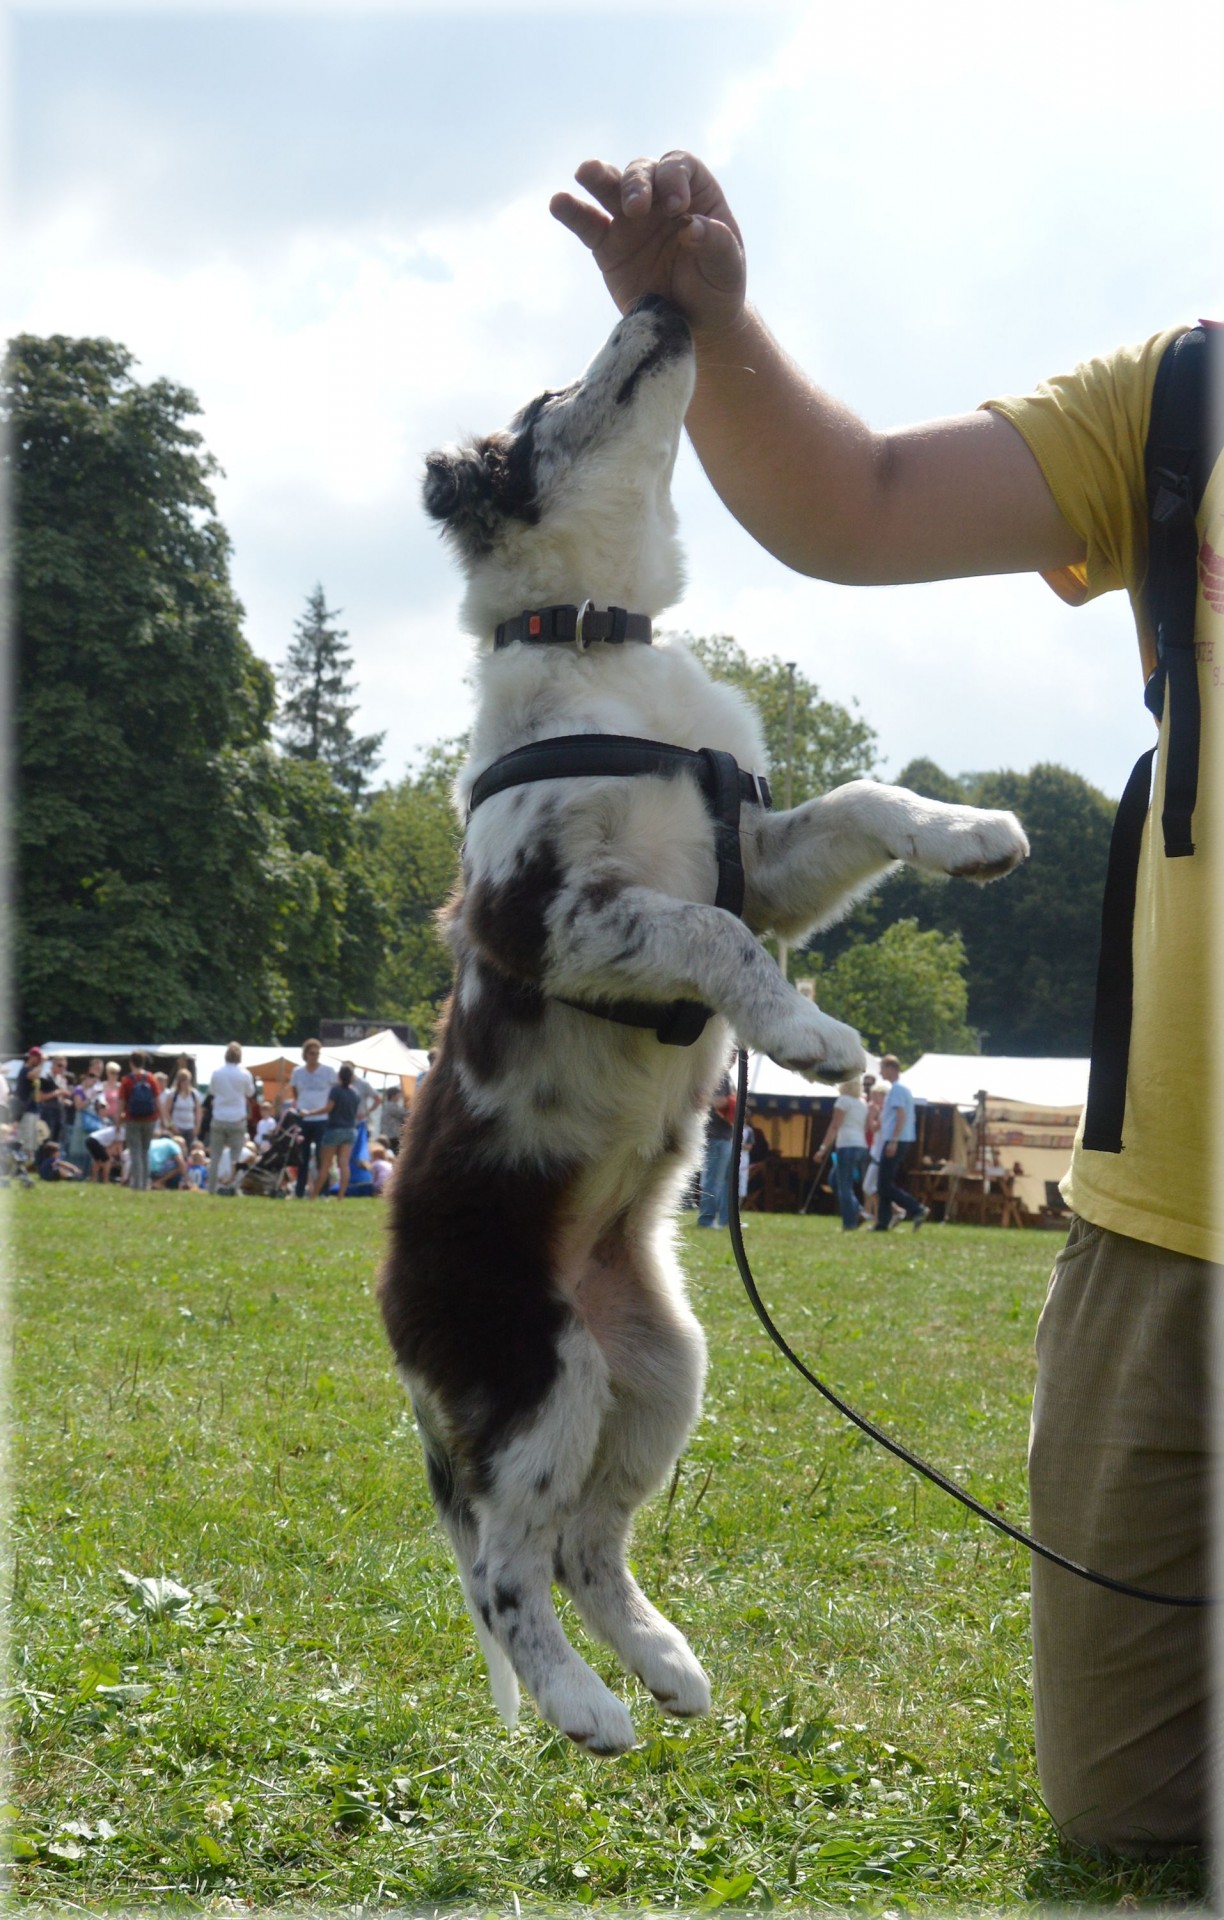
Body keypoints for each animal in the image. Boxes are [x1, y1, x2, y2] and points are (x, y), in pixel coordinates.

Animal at [381, 295, 1028, 1758]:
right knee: (504, 1562)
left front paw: (975, 834)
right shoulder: (553, 915)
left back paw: (667, 1669)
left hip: (664, 1367)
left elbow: (864, 802)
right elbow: (710, 938)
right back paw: (582, 1706)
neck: (600, 641)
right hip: (538, 1373)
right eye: (545, 396)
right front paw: (814, 1038)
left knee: (587, 1546)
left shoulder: (766, 857)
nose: (667, 302)